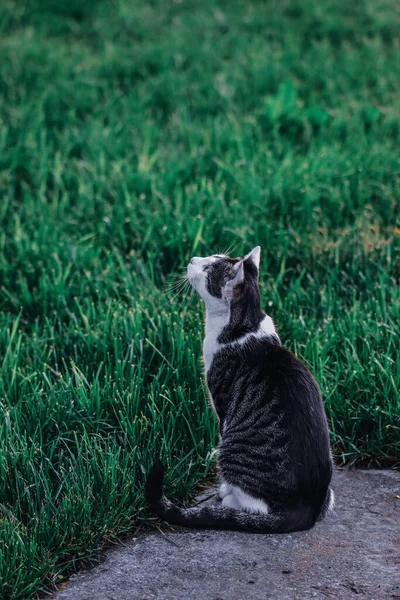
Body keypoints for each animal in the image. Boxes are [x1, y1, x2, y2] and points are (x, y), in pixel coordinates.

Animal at [145, 246, 332, 532]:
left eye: (208, 268)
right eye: (211, 257)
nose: (192, 259)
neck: (244, 325)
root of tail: (306, 512)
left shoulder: (221, 403)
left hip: (235, 450)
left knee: (254, 506)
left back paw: (228, 497)